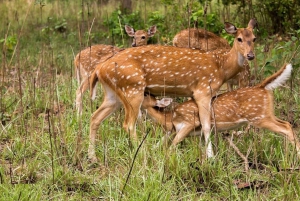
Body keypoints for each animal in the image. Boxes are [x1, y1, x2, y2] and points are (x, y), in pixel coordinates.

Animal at [88, 18, 256, 163]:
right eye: (239, 38)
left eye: (254, 38)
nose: (250, 55)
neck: (222, 68)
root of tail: (99, 69)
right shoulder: (202, 91)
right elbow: (207, 125)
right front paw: (211, 157)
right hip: (132, 89)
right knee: (129, 124)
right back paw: (141, 154)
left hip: (113, 95)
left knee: (95, 117)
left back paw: (93, 157)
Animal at [141, 63, 300, 159]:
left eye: (145, 94)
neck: (170, 119)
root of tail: (262, 87)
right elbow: (162, 142)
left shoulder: (190, 122)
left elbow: (173, 144)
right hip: (267, 113)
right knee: (287, 124)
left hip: (259, 117)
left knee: (286, 127)